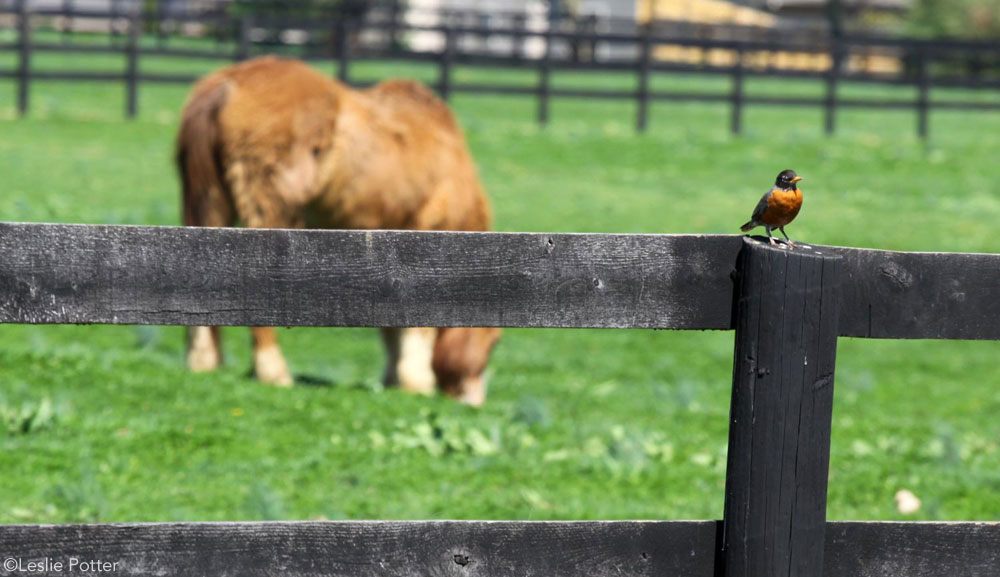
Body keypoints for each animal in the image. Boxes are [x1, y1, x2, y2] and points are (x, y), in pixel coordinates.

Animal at [178, 56, 500, 402]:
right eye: (493, 343)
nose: (474, 402)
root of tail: (229, 81)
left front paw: (393, 380)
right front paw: (416, 383)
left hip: (209, 204)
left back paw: (203, 361)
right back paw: (274, 373)